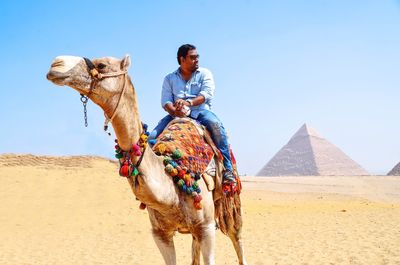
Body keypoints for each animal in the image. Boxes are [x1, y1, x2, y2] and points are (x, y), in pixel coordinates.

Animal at [47, 54, 247, 264]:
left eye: (101, 65)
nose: (56, 63)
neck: (172, 179)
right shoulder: (160, 233)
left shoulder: (206, 227)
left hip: (229, 200)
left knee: (237, 237)